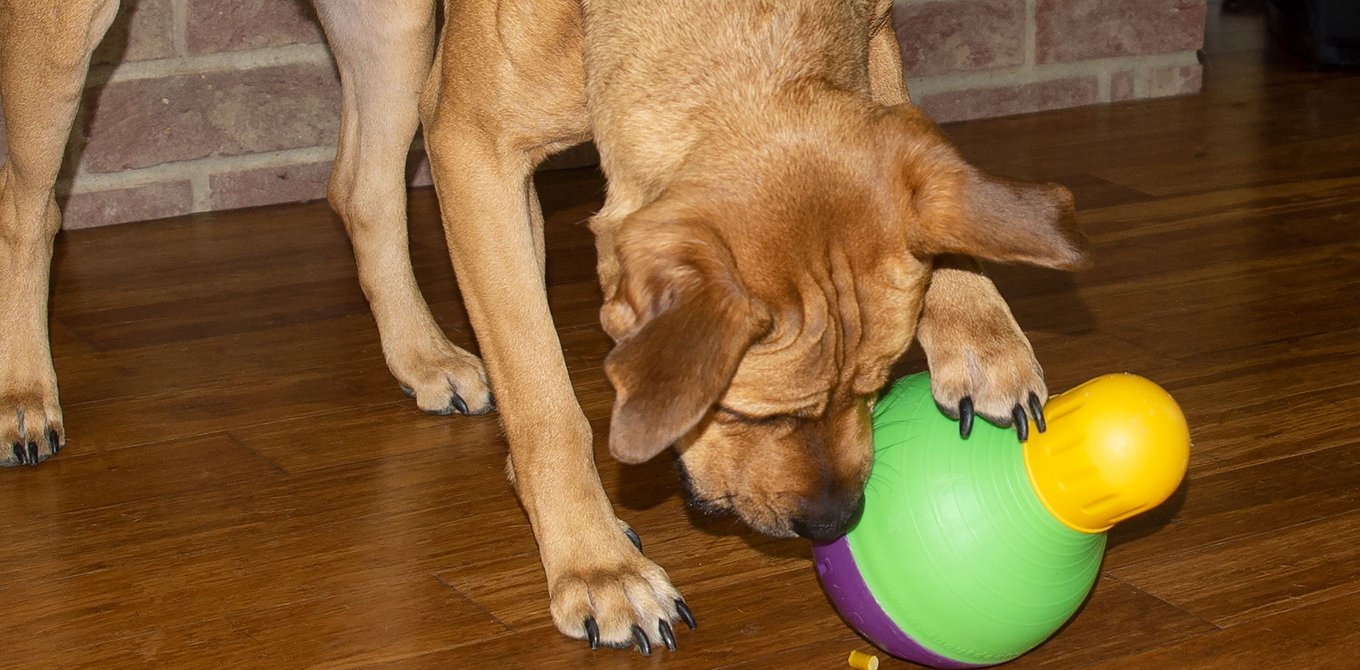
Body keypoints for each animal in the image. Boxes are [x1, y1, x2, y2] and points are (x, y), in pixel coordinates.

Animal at [0, 0, 1082, 655]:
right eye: (752, 413)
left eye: (874, 386)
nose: (833, 523)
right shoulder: (473, 142)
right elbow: (548, 401)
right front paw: (595, 562)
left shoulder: (874, 36)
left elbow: (920, 153)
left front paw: (980, 334)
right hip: (66, 40)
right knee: (27, 204)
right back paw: (23, 394)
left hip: (392, 25)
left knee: (359, 186)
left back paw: (422, 354)